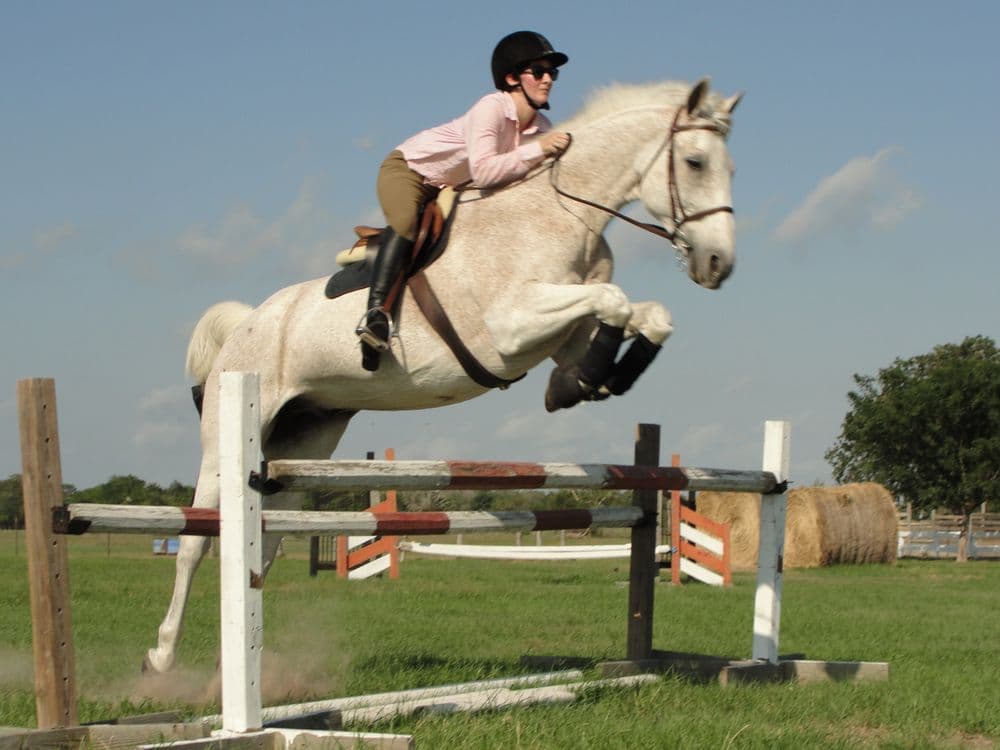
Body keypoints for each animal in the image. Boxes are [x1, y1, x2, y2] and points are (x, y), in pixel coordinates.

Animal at [143, 77, 742, 673]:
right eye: (694, 162)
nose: (719, 265)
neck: (559, 214)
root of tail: (246, 324)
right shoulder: (510, 328)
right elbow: (613, 299)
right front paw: (583, 383)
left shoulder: (564, 333)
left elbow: (645, 316)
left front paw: (583, 384)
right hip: (228, 442)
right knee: (196, 542)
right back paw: (164, 655)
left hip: (301, 440)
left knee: (265, 545)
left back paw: (246, 662)